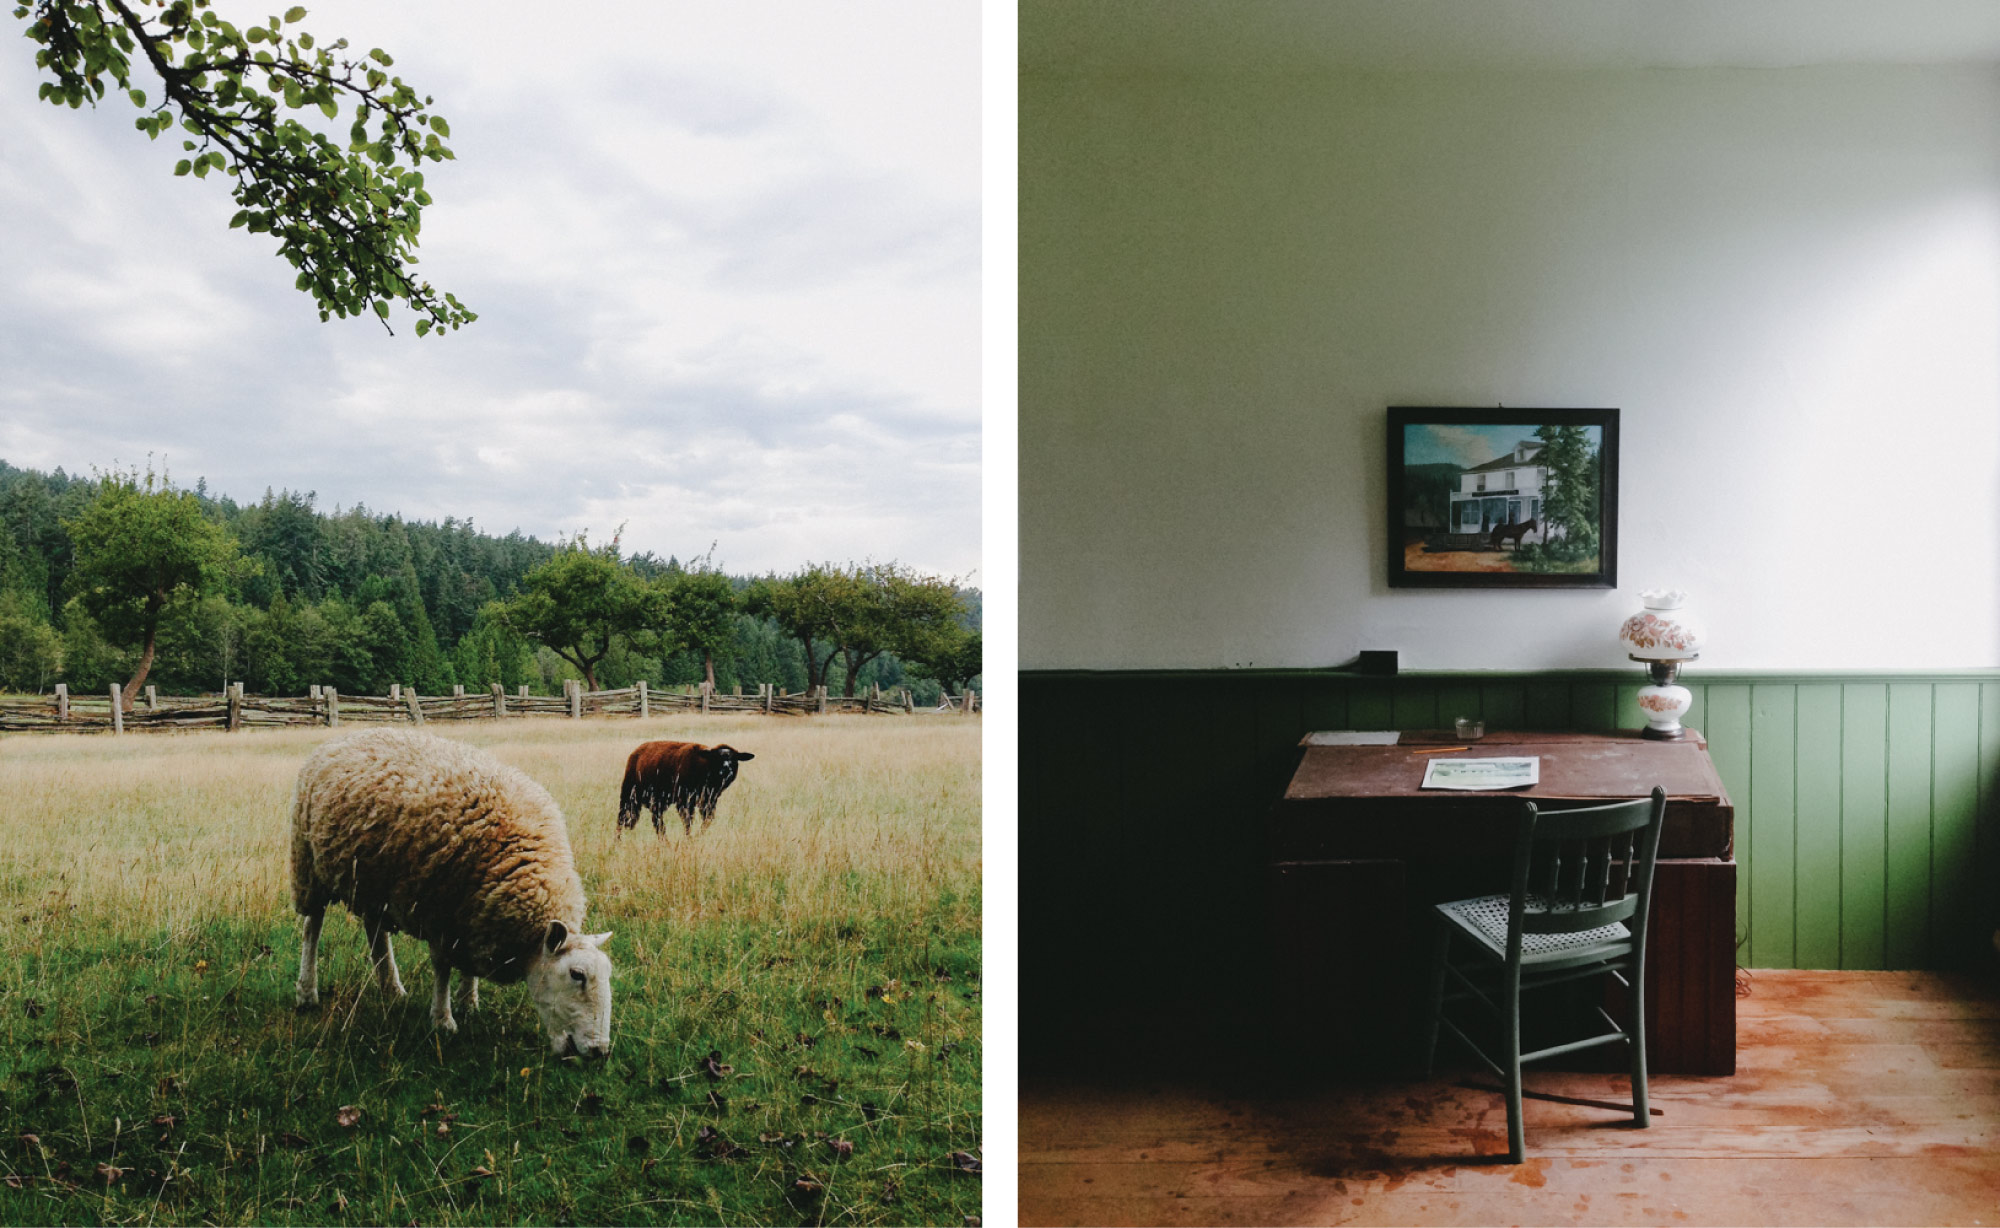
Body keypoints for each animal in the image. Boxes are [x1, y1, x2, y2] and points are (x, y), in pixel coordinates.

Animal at [290, 732, 612, 1056]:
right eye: (576, 975)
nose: (600, 1051)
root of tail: (347, 735)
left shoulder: (474, 911)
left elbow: (467, 965)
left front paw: (468, 1002)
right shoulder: (440, 913)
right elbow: (442, 967)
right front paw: (443, 1021)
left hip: (372, 881)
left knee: (375, 930)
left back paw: (391, 988)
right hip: (308, 865)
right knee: (312, 927)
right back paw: (307, 992)